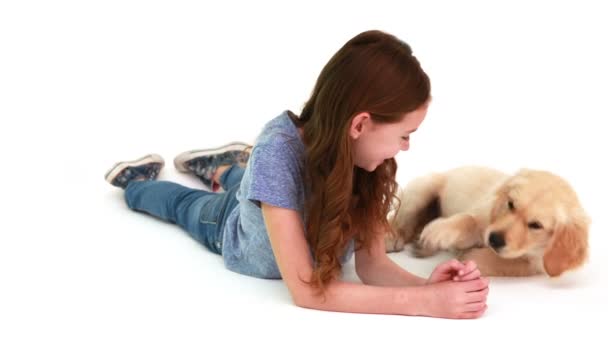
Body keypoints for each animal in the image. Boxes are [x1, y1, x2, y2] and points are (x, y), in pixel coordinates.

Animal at [388, 166, 592, 278]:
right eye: (510, 204)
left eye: (536, 225)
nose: (494, 240)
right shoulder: (483, 217)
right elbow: (468, 220)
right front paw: (442, 231)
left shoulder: (535, 264)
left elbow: (505, 262)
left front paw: (468, 256)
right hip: (421, 190)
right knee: (401, 221)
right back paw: (393, 237)